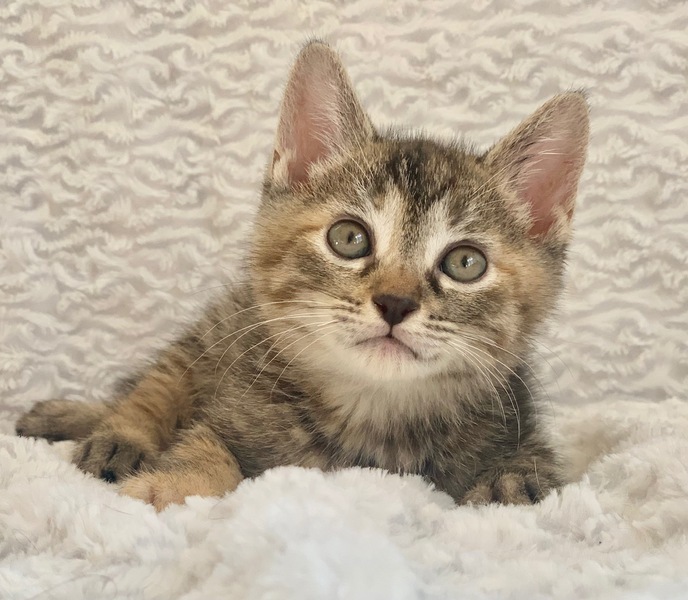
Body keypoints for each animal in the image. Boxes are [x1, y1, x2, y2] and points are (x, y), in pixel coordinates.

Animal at [16, 41, 589, 511]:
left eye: (465, 263)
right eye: (349, 238)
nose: (395, 303)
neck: (371, 417)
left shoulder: (517, 423)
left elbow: (529, 475)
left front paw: (507, 486)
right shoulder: (229, 407)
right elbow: (204, 446)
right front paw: (170, 484)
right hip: (215, 333)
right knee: (151, 386)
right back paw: (109, 433)